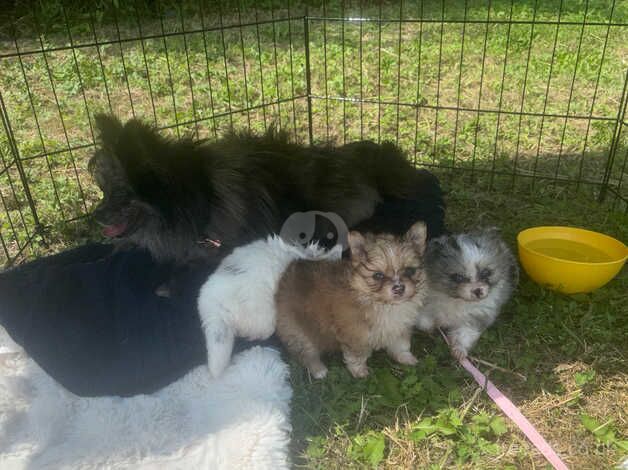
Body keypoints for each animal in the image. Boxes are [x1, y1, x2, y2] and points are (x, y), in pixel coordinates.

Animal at [418, 229, 516, 360]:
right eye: (458, 277)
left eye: (486, 272)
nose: (477, 291)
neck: (457, 300)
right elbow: (424, 321)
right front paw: (431, 326)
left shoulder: (477, 316)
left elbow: (466, 332)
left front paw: (459, 350)